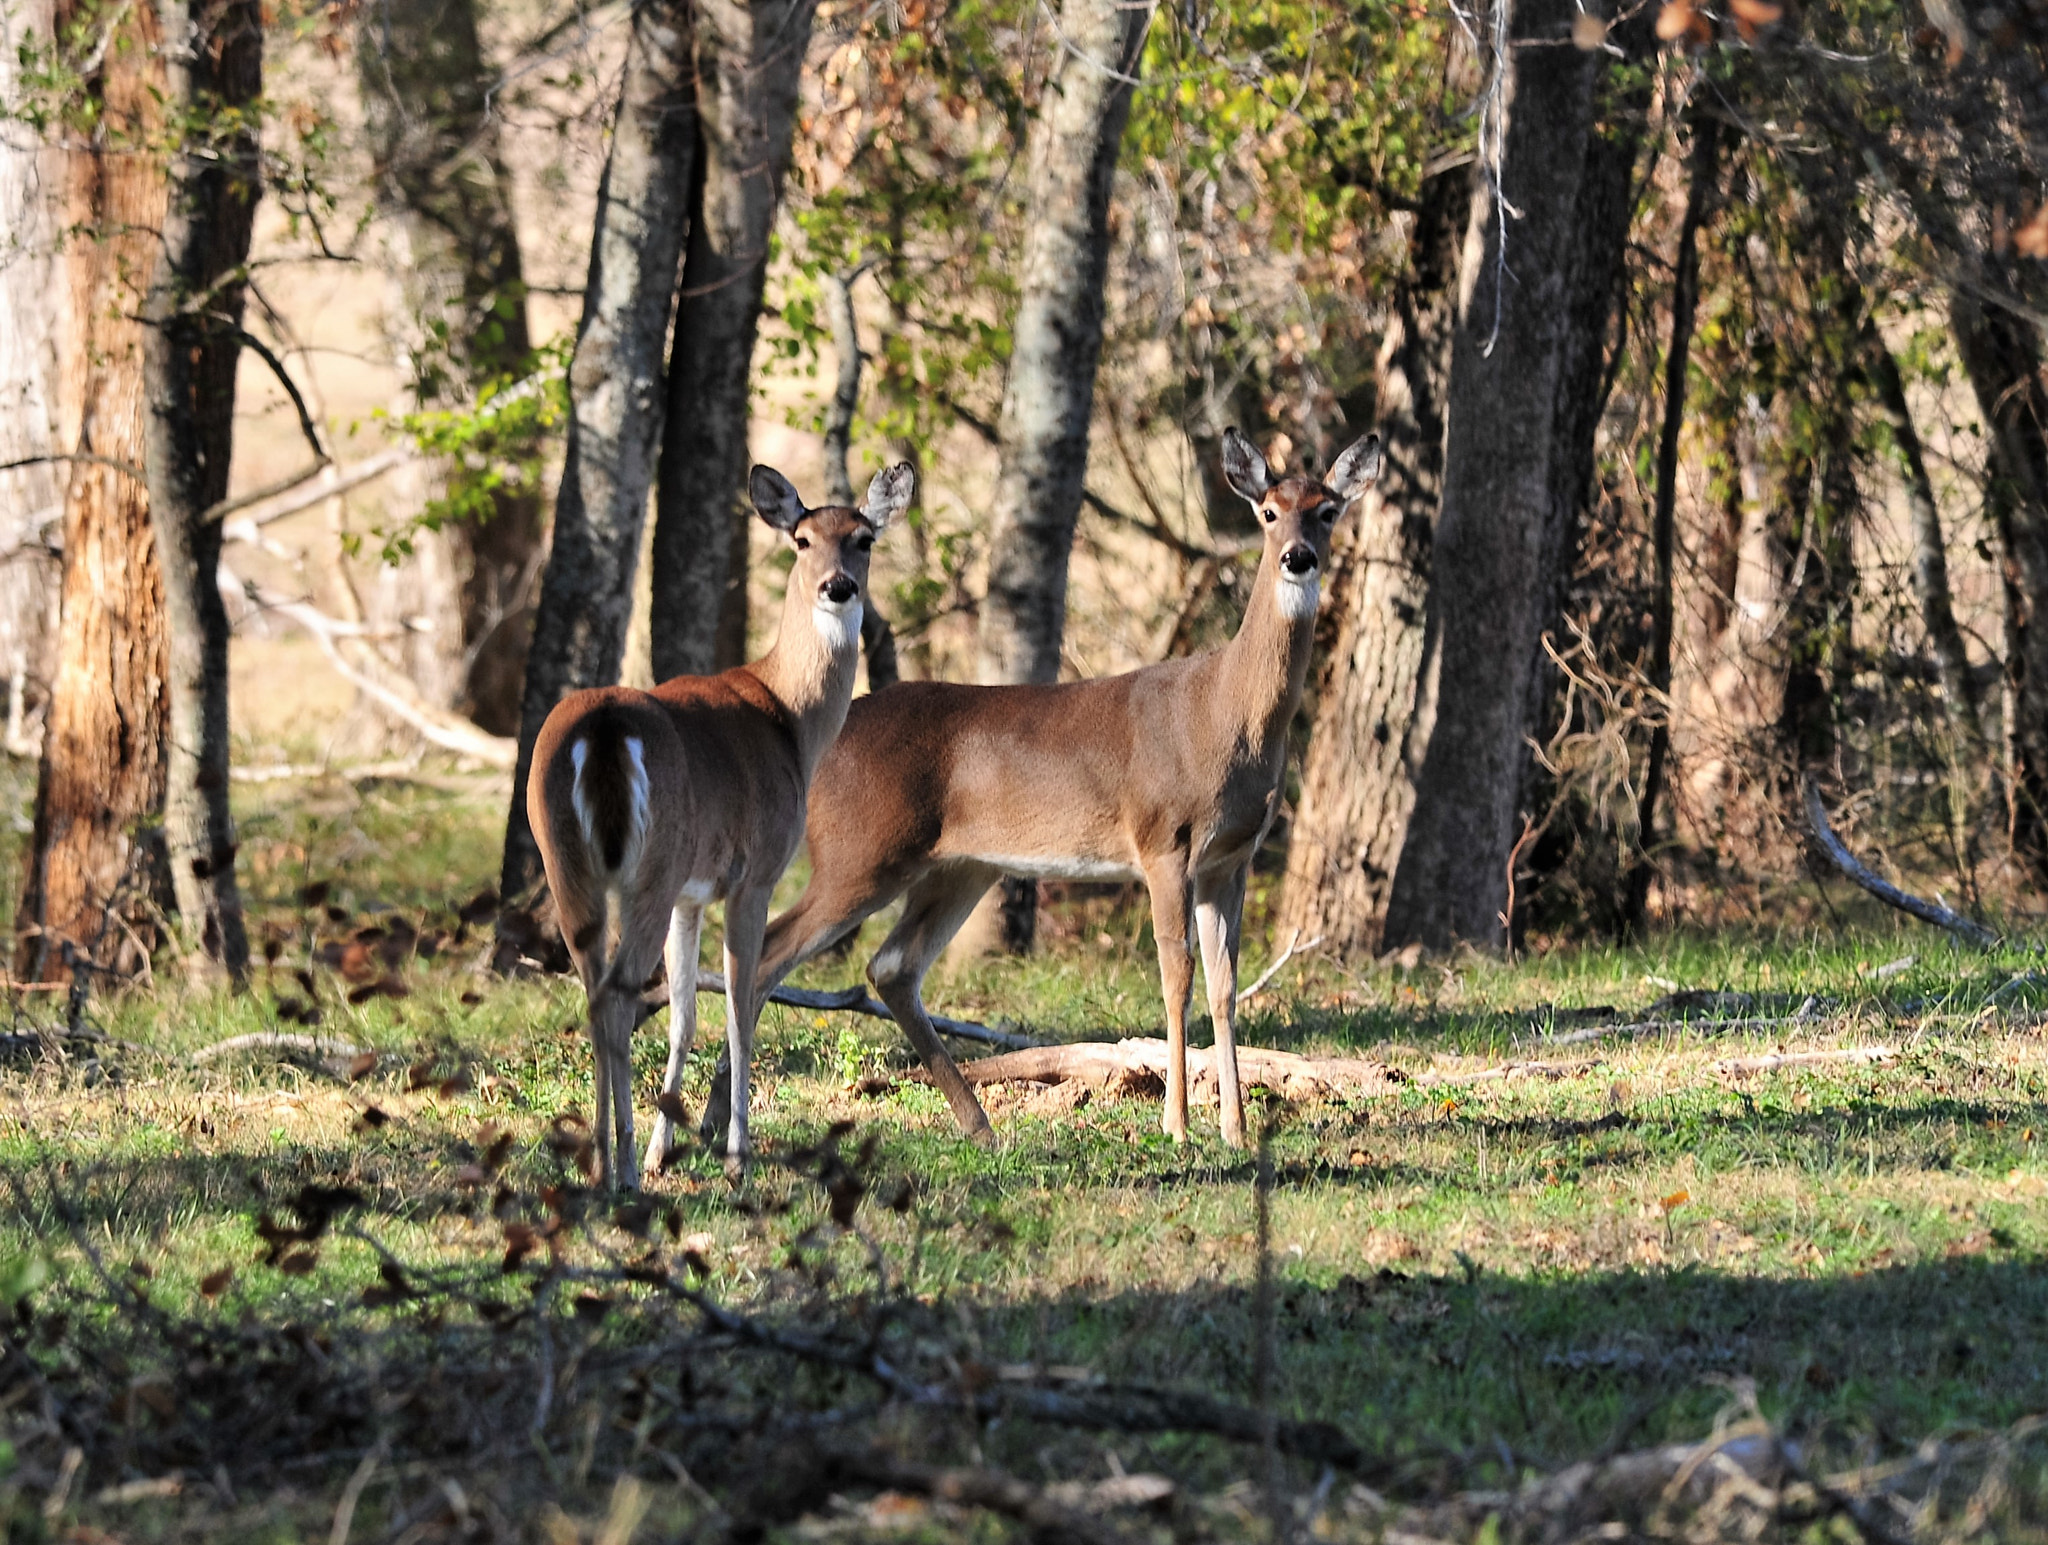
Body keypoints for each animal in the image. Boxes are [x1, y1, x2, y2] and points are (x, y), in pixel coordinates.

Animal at [528, 456, 913, 1180]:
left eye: (864, 538)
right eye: (801, 540)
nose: (839, 586)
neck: (789, 717)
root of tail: (604, 728)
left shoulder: (692, 891)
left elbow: (684, 1014)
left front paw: (664, 1146)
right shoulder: (754, 872)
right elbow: (739, 1001)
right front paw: (735, 1153)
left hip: (568, 859)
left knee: (596, 990)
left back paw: (604, 1161)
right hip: (652, 863)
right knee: (619, 992)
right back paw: (621, 1168)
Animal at [729, 422, 1384, 1147]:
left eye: (1329, 510)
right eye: (1268, 512)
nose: (1298, 556)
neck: (1223, 710)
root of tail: (822, 744)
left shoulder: (1230, 858)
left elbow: (1225, 986)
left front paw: (1235, 1131)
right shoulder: (1163, 837)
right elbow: (1176, 978)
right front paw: (1177, 1126)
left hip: (959, 866)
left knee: (890, 966)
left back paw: (981, 1126)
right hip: (860, 851)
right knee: (774, 951)